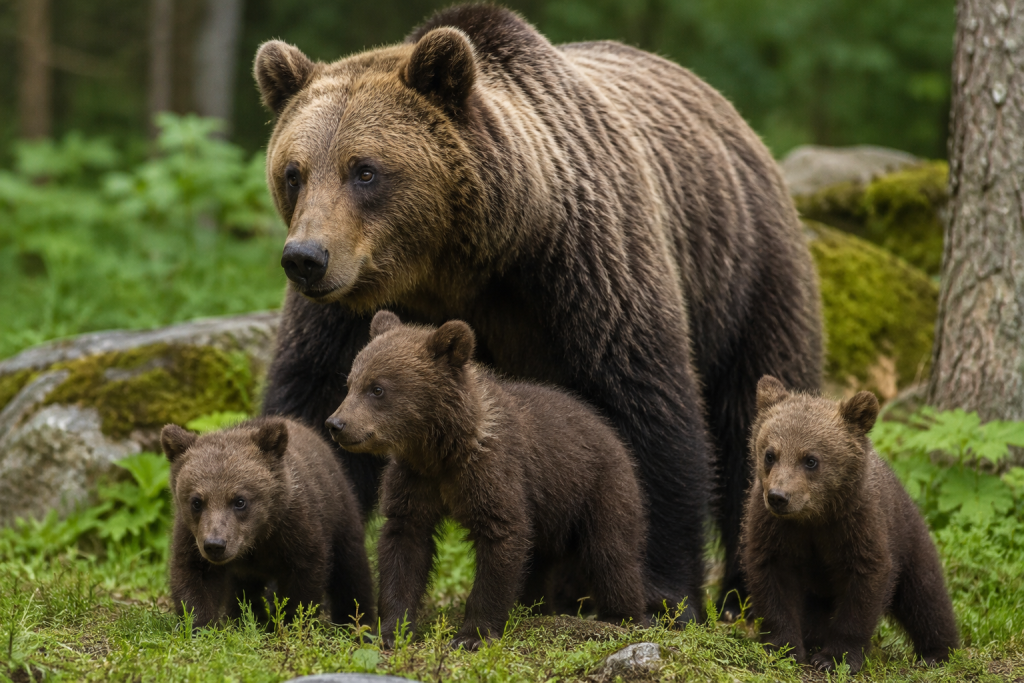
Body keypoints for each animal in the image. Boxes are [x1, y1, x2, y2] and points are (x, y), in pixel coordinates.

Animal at [161, 417, 376, 629]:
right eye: (196, 501)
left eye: (240, 501)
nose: (215, 545)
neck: (258, 539)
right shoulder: (192, 535)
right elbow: (194, 575)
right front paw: (200, 625)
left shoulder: (296, 527)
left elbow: (304, 577)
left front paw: (291, 621)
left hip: (340, 510)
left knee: (350, 567)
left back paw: (356, 620)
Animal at [326, 311, 647, 650]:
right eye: (350, 383)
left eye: (377, 389)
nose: (336, 424)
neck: (443, 450)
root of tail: (610, 432)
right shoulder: (415, 479)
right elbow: (404, 545)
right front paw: (391, 630)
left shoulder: (492, 473)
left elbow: (500, 540)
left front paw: (472, 635)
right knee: (540, 561)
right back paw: (533, 607)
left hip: (599, 488)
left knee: (610, 554)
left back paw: (621, 617)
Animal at [740, 376, 959, 672]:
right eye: (770, 454)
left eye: (811, 459)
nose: (778, 497)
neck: (815, 516)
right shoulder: (775, 529)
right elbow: (773, 580)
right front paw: (784, 648)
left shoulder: (857, 525)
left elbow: (864, 586)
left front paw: (835, 658)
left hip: (908, 536)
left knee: (926, 595)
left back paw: (938, 652)